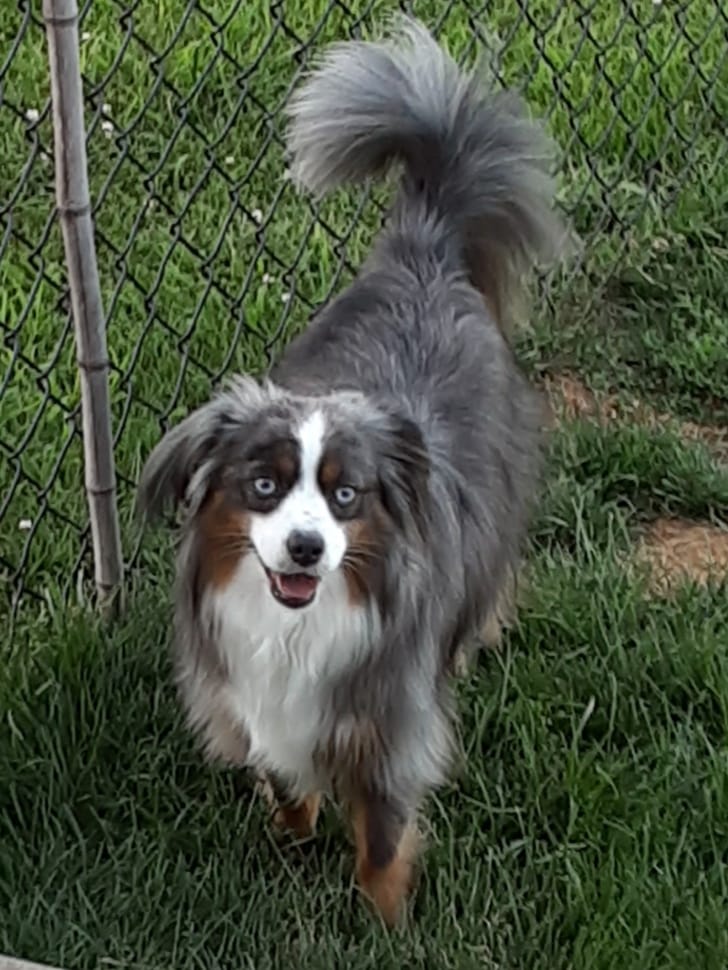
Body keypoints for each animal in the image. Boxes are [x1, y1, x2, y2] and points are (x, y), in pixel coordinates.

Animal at [139, 15, 564, 924]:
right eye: (264, 485)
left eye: (345, 495)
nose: (306, 549)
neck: (297, 626)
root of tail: (425, 251)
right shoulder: (253, 699)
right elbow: (281, 772)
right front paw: (291, 829)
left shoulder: (391, 723)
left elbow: (381, 834)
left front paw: (385, 922)